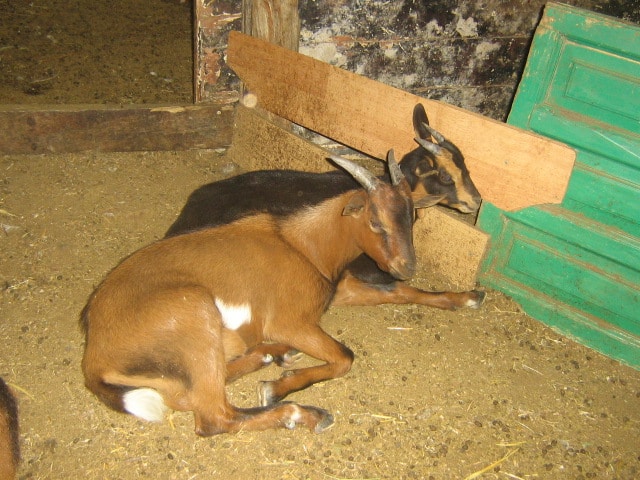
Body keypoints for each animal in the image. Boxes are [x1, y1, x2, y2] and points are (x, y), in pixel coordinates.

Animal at [82, 153, 428, 436]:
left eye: (412, 217)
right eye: (375, 221)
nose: (406, 266)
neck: (304, 246)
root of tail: (95, 357)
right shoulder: (289, 321)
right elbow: (345, 357)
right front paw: (276, 388)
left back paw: (270, 354)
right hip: (195, 312)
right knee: (215, 417)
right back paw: (305, 413)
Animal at [165, 103, 484, 310]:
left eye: (466, 166)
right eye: (445, 176)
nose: (476, 201)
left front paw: (470, 297)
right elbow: (398, 288)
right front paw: (466, 297)